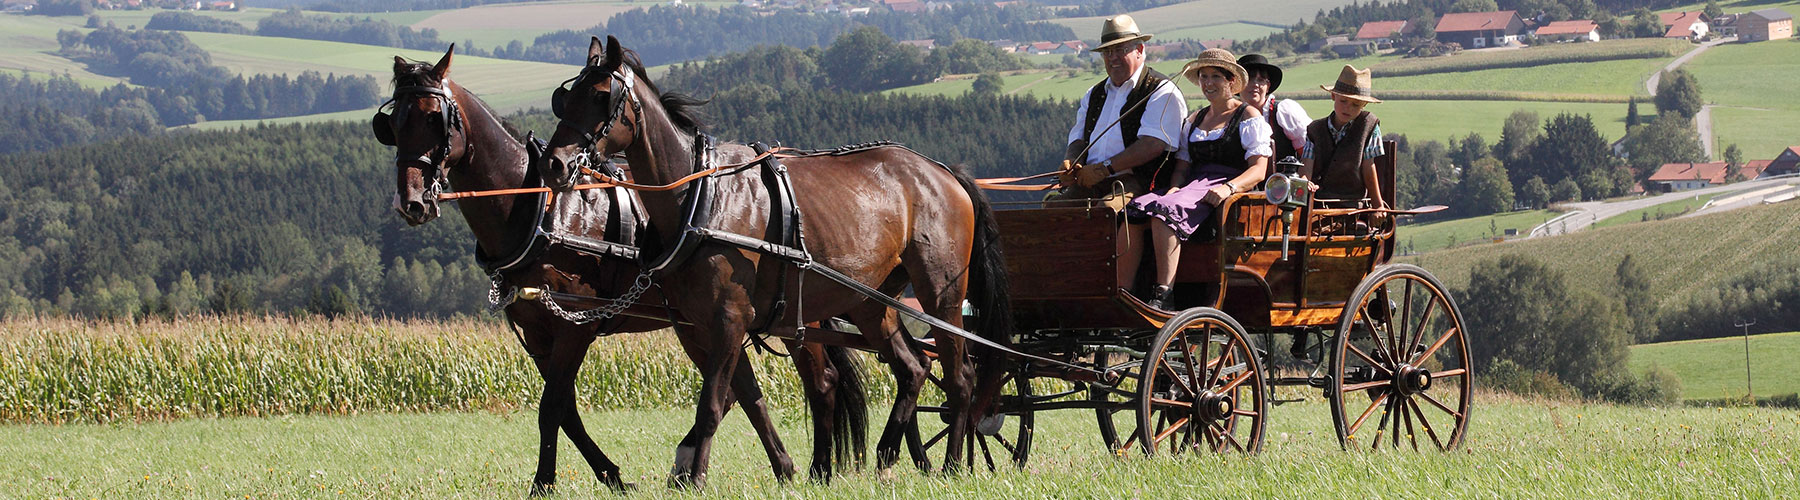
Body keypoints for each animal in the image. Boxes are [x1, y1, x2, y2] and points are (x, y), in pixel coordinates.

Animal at [372, 44, 864, 492]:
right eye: (392, 125)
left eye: (434, 118)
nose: (410, 202)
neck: (540, 208)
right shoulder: (537, 332)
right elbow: (566, 410)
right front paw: (610, 474)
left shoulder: (575, 326)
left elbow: (552, 407)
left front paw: (545, 482)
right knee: (745, 391)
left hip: (795, 314)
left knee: (820, 382)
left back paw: (815, 469)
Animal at [532, 36, 1015, 489]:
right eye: (566, 97)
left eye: (601, 96)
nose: (553, 164)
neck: (699, 197)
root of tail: (943, 172)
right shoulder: (700, 324)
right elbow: (748, 398)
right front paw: (779, 468)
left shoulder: (729, 317)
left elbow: (712, 405)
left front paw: (696, 476)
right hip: (870, 302)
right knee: (913, 369)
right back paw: (882, 457)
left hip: (940, 294)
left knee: (959, 376)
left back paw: (952, 464)